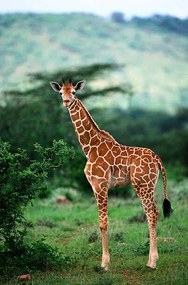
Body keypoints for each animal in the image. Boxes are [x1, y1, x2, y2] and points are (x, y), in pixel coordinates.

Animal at [49, 79, 172, 270]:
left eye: (74, 92)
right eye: (61, 92)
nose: (66, 102)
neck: (90, 147)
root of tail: (157, 159)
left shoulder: (100, 184)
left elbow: (103, 222)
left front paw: (104, 263)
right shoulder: (95, 187)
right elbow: (103, 221)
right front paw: (105, 261)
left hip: (142, 185)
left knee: (152, 212)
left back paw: (152, 262)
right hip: (148, 185)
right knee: (152, 212)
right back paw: (151, 260)